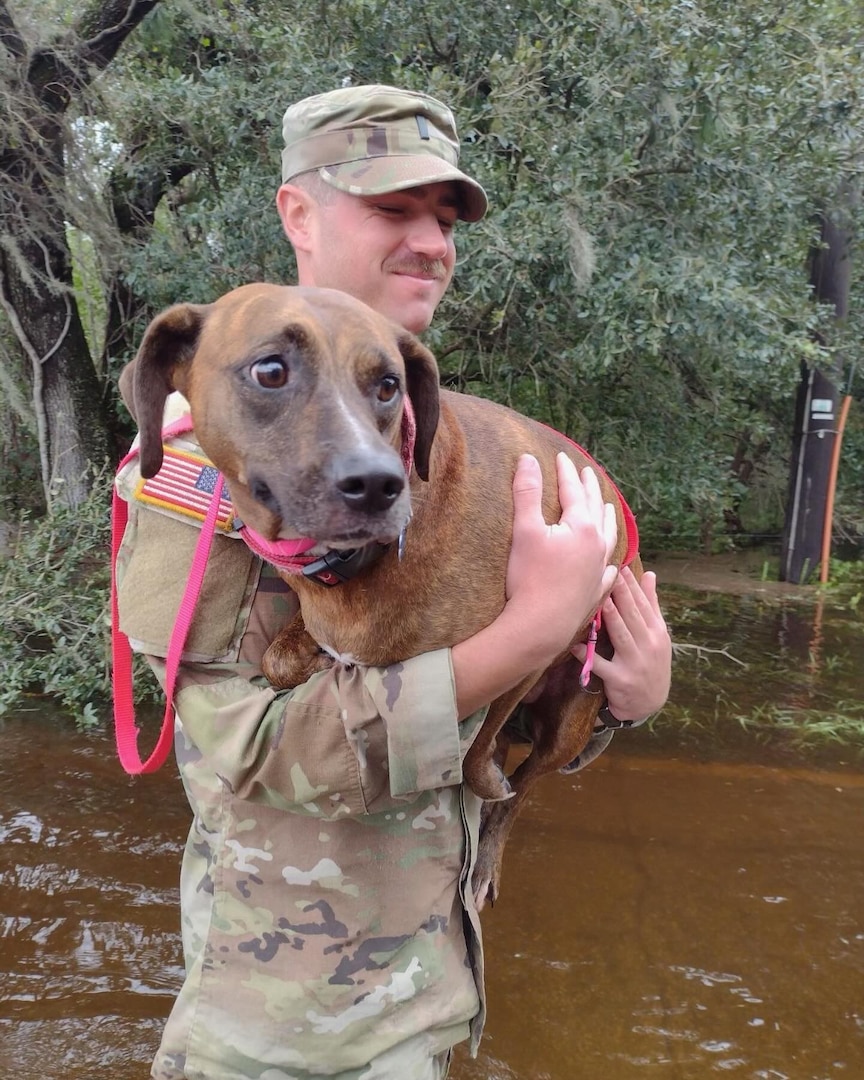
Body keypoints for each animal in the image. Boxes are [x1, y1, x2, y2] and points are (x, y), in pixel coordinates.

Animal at [121, 282, 639, 907]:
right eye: (270, 370)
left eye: (390, 384)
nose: (376, 484)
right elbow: (278, 660)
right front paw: (320, 658)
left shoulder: (540, 637)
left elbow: (478, 752)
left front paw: (482, 774)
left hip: (573, 713)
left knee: (524, 784)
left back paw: (489, 849)